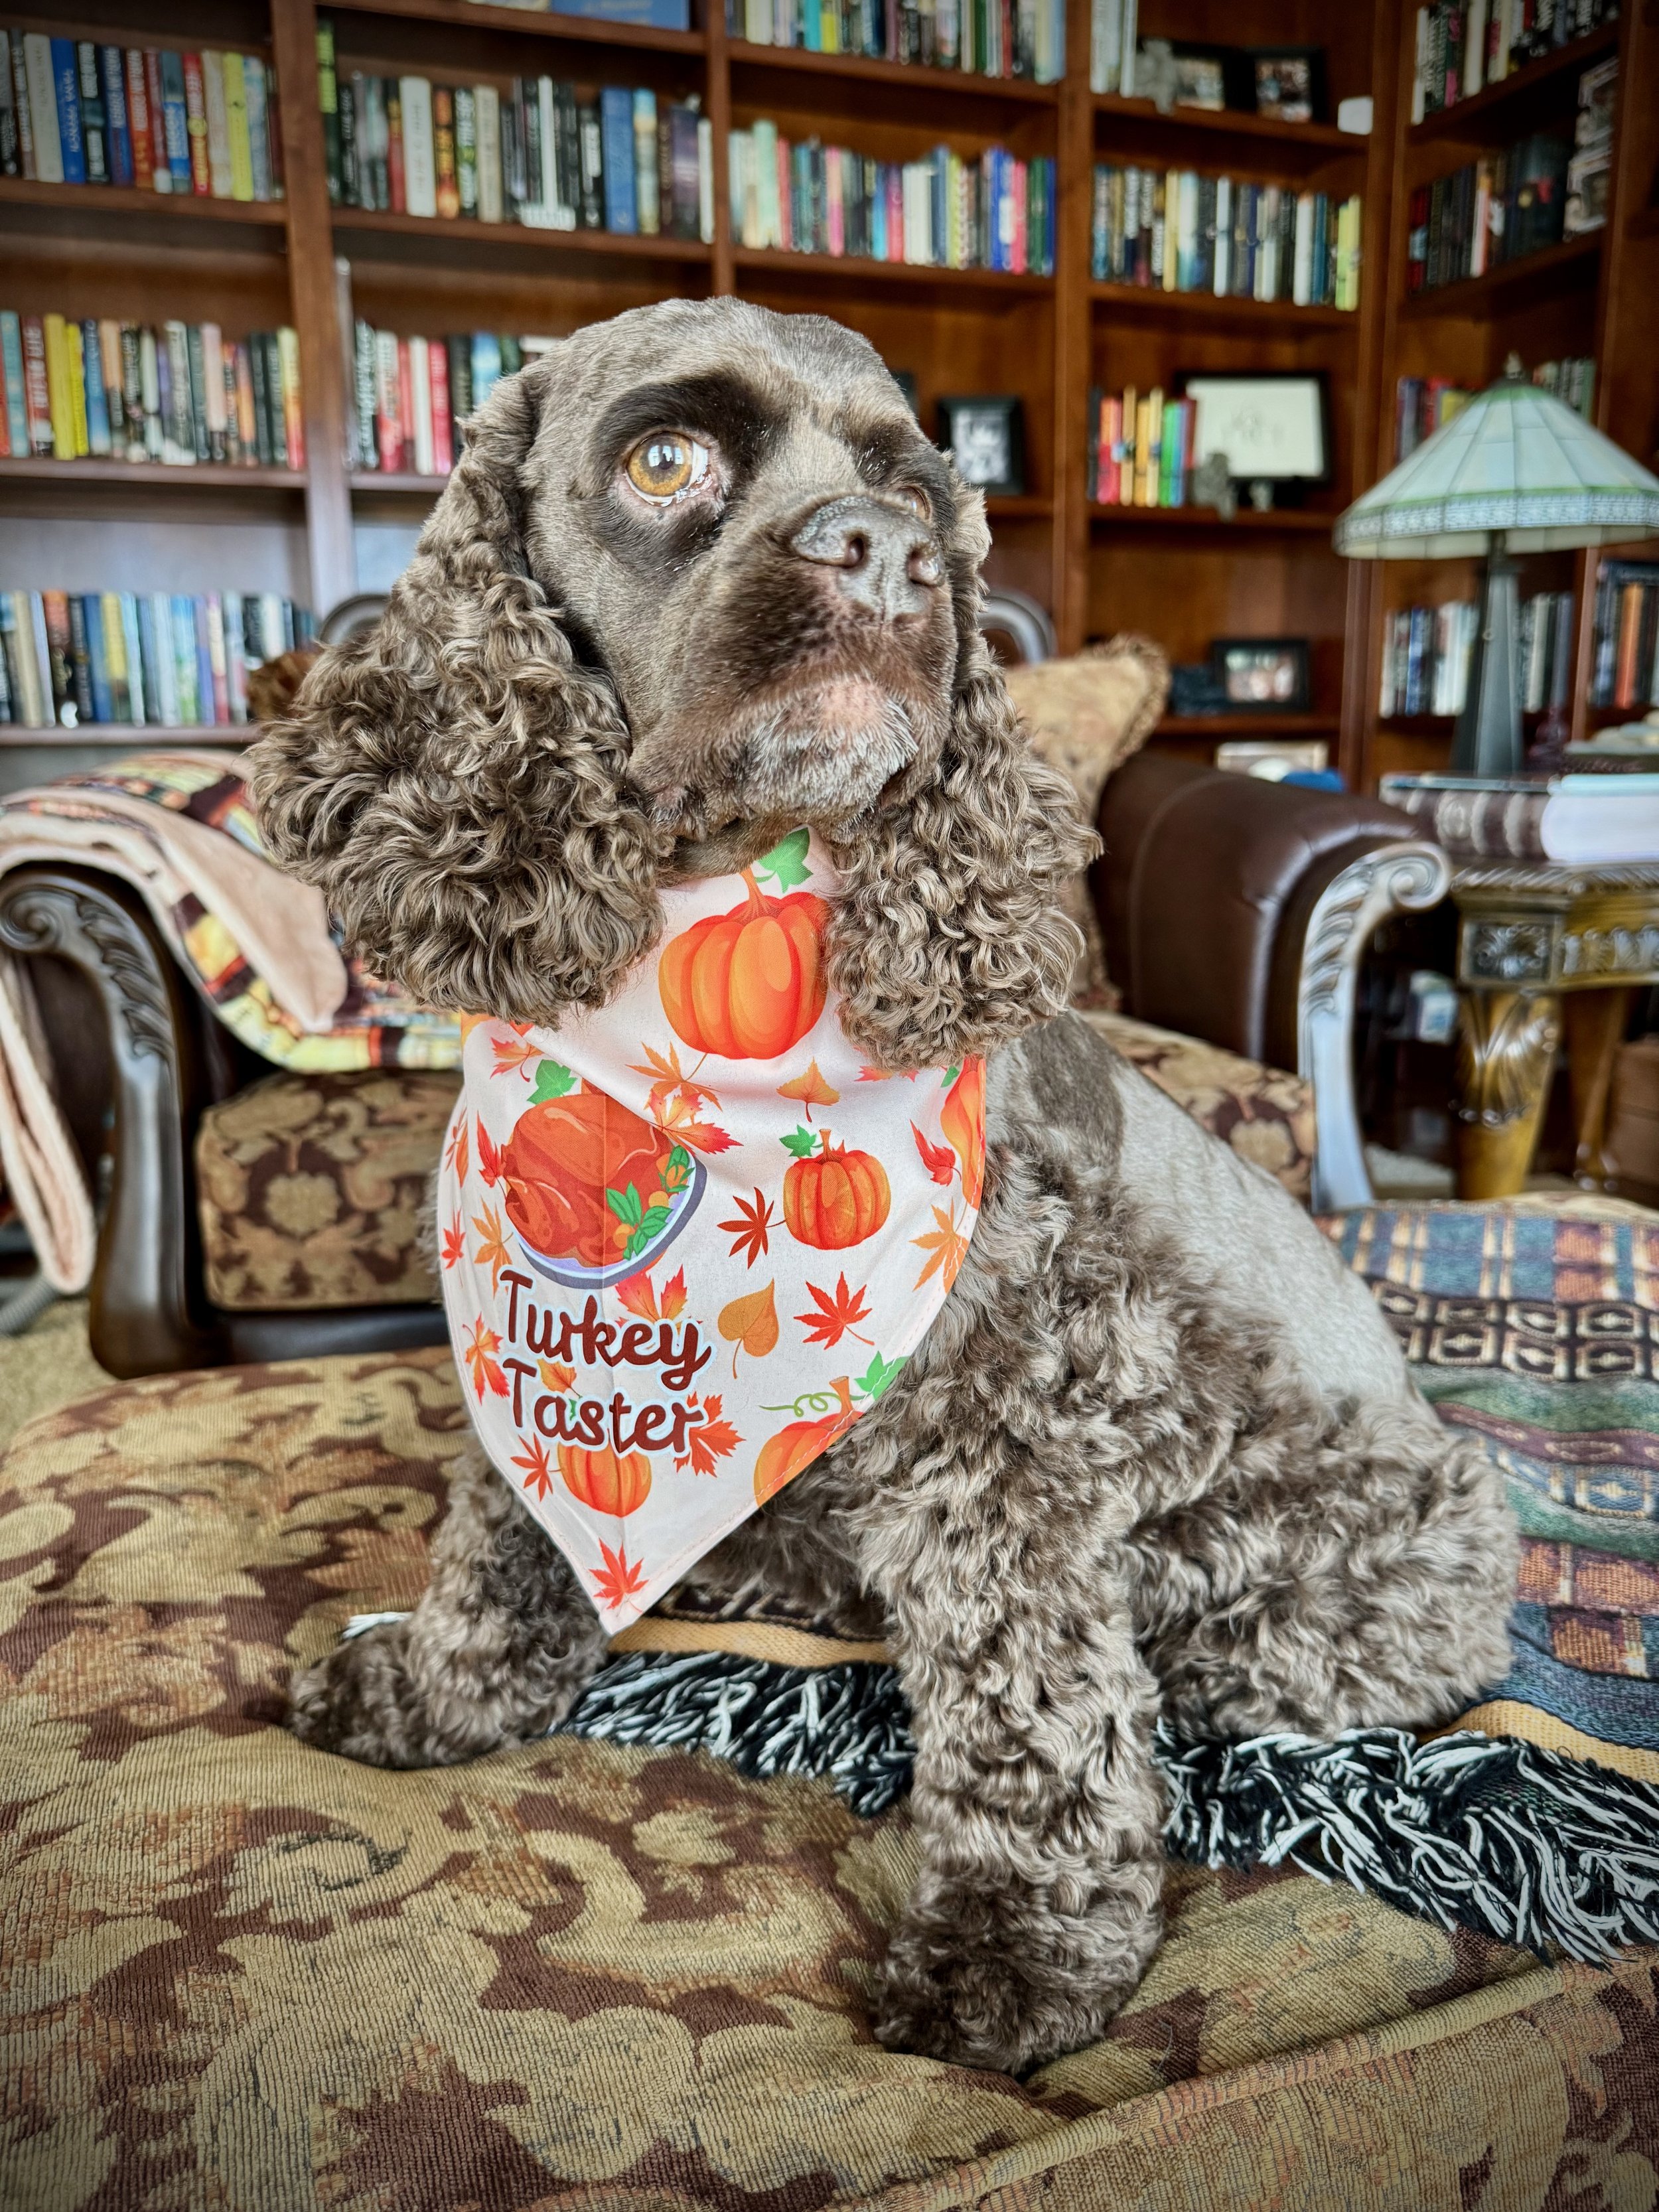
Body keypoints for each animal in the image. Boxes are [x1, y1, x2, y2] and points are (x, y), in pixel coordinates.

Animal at [250, 297, 1515, 2075]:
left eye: (920, 489)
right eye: (665, 459)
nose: (890, 554)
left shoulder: (1021, 1429)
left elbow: (1027, 1706)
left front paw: (1016, 1948)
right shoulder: (510, 1337)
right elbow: (500, 1532)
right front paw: (435, 1694)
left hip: (1321, 1557)